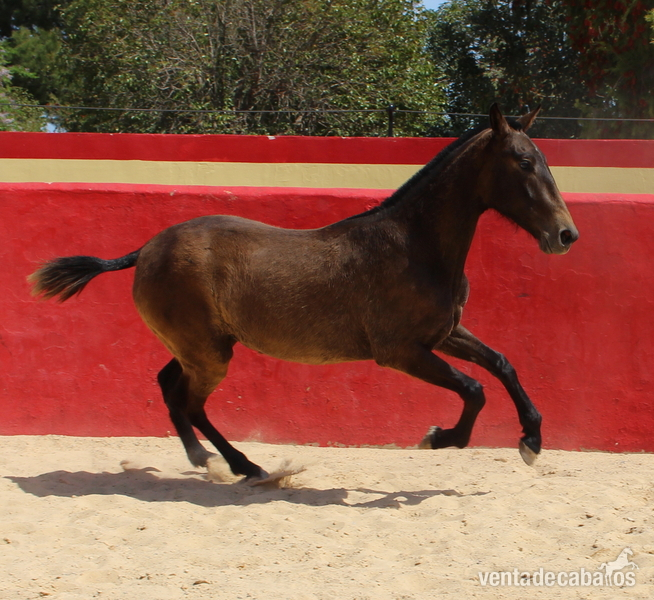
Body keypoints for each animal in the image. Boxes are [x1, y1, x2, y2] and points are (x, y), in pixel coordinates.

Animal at [29, 104, 578, 481]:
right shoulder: (401, 351)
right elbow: (474, 388)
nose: (566, 235)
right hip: (208, 354)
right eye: (523, 162)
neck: (415, 245)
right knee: (189, 402)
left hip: (200, 346)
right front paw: (440, 438)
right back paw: (241, 466)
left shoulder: (443, 334)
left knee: (169, 386)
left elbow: (502, 364)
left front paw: (531, 439)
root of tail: (144, 249)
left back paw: (210, 459)